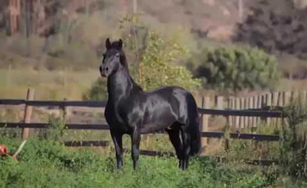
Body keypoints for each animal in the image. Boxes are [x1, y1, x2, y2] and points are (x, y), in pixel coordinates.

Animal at [100, 38, 202, 170]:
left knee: (186, 153)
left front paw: (135, 173)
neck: (123, 98)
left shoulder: (135, 131)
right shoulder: (114, 131)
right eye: (104, 55)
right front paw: (120, 173)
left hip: (185, 129)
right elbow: (119, 154)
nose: (104, 69)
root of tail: (188, 94)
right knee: (180, 153)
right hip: (173, 130)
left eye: (117, 55)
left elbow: (135, 154)